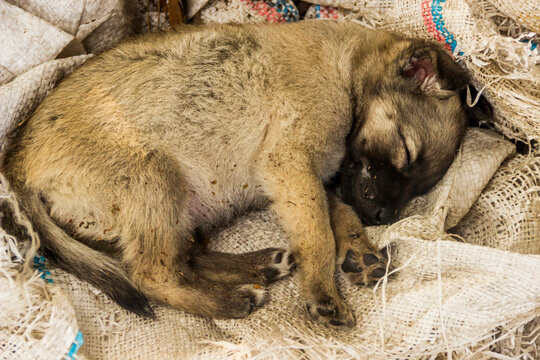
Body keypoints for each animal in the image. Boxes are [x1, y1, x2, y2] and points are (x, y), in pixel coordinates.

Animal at [2, 21, 490, 328]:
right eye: (405, 152)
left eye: (420, 185)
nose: (384, 218)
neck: (345, 66)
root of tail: (17, 169)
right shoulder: (292, 165)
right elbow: (317, 233)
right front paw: (323, 292)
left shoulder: (312, 177)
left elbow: (339, 215)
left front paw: (360, 249)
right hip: (153, 177)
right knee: (150, 272)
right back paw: (234, 300)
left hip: (178, 206)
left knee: (183, 257)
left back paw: (258, 266)